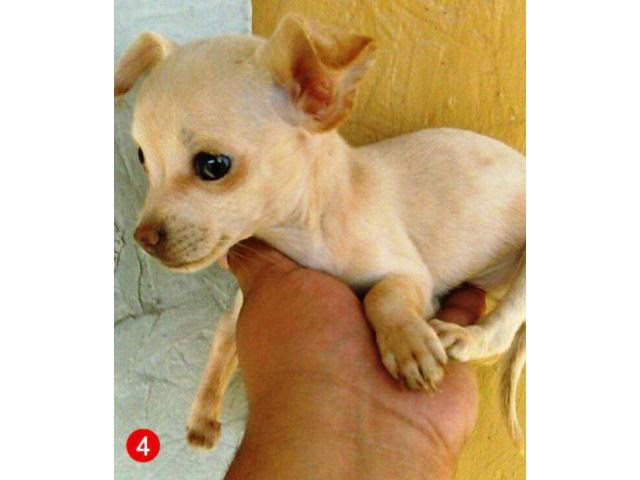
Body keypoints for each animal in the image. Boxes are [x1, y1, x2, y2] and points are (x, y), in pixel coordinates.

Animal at [115, 14, 524, 450]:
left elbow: (382, 295)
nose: (143, 238)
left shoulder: (412, 277)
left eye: (213, 165)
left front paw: (408, 345)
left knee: (504, 329)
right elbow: (224, 338)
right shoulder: (244, 303)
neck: (304, 233)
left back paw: (467, 337)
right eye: (142, 159)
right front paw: (204, 413)